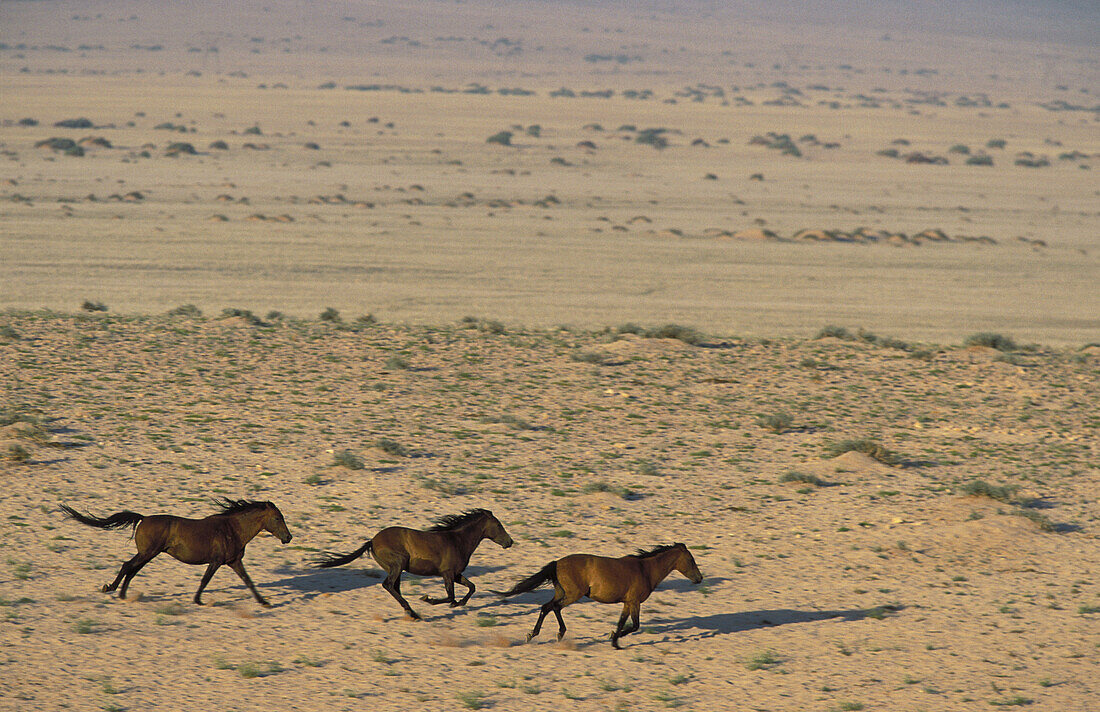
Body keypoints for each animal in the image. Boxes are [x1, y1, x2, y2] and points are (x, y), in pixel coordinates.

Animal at [59, 501, 292, 607]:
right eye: (278, 518)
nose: (288, 537)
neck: (233, 528)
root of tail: (143, 518)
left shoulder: (233, 562)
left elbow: (248, 581)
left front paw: (264, 602)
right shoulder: (216, 561)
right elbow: (205, 580)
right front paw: (198, 600)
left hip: (148, 554)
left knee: (131, 569)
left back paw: (122, 594)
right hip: (148, 552)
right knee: (128, 566)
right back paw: (112, 589)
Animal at [312, 510, 512, 620]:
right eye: (498, 525)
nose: (509, 542)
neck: (457, 540)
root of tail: (372, 541)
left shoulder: (455, 574)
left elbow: (471, 587)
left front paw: (459, 603)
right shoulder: (447, 573)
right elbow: (450, 595)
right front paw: (429, 599)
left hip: (396, 568)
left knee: (394, 587)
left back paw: (411, 612)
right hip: (398, 564)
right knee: (388, 585)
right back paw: (413, 612)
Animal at [499, 543, 704, 647]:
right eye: (691, 560)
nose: (699, 578)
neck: (645, 569)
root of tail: (557, 563)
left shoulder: (627, 602)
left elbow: (622, 622)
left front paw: (614, 637)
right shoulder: (635, 602)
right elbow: (635, 625)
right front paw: (615, 641)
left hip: (562, 592)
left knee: (546, 607)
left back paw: (533, 634)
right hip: (573, 594)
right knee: (554, 608)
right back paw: (558, 634)